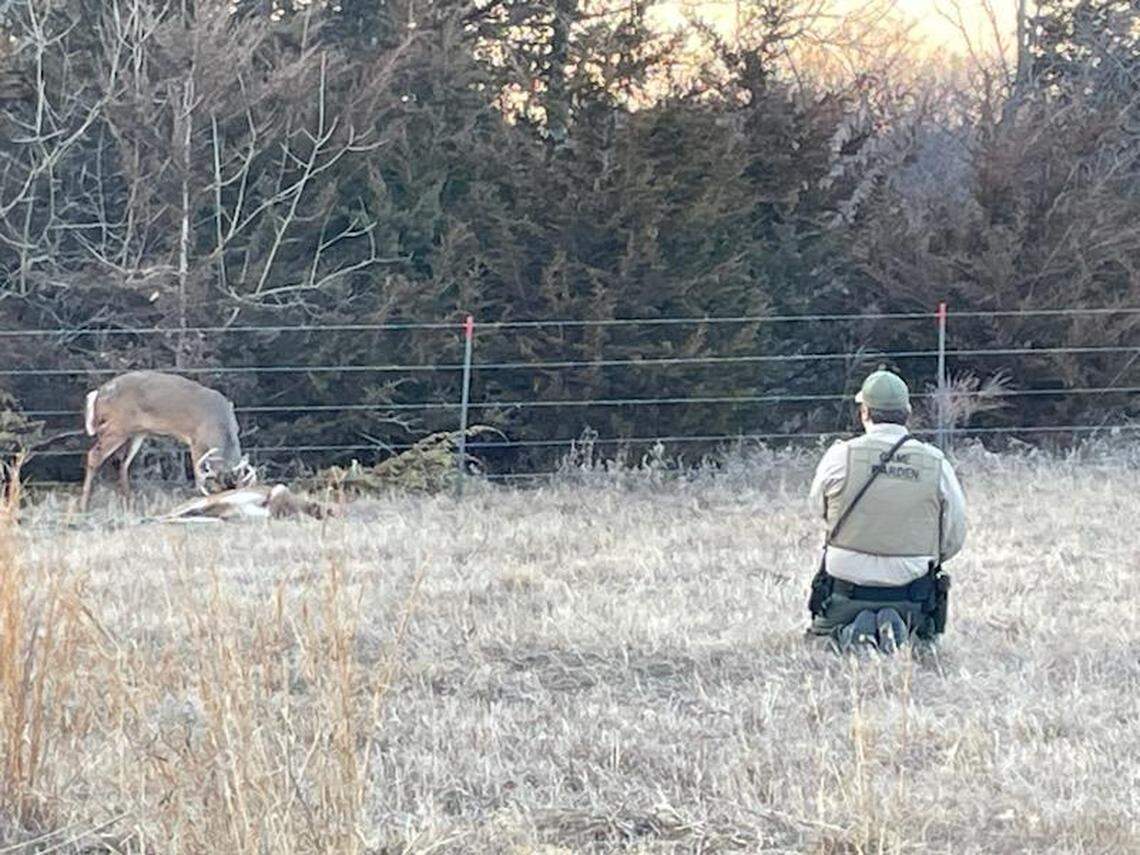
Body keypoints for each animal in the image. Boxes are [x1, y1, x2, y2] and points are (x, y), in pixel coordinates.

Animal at [80, 370, 256, 512]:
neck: (220, 426)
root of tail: (99, 392)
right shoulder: (196, 440)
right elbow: (198, 472)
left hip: (137, 432)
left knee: (123, 463)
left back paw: (130, 504)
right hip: (118, 426)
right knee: (95, 455)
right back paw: (84, 506)